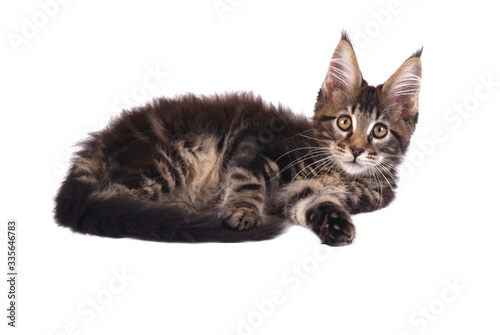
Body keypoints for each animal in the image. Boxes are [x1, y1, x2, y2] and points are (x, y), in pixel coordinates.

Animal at [53, 32, 422, 247]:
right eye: (345, 122)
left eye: (379, 130)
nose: (357, 150)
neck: (339, 172)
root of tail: (96, 146)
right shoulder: (257, 143)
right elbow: (248, 180)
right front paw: (241, 213)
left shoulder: (299, 194)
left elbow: (313, 203)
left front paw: (336, 224)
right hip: (168, 160)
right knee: (118, 197)